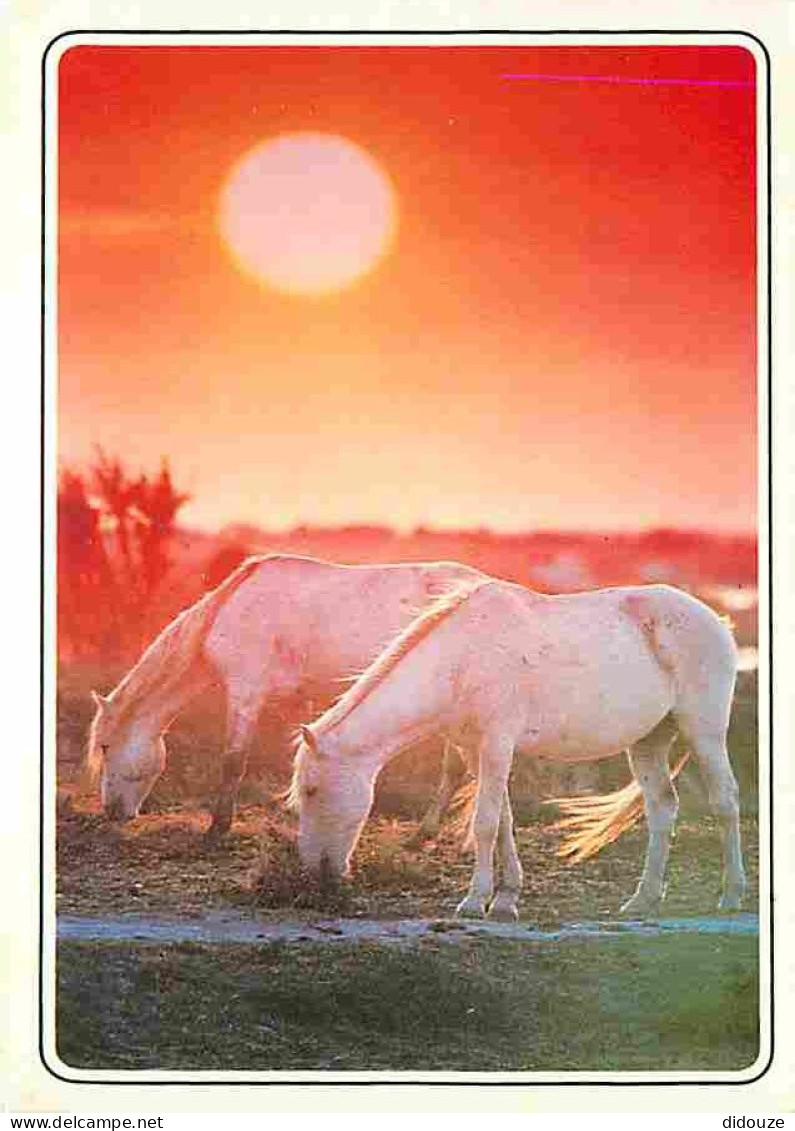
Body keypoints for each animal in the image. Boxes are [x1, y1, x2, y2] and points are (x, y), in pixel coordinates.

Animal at [87, 551, 484, 836]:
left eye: (105, 746)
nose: (111, 812)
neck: (229, 610)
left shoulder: (245, 694)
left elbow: (233, 761)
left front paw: (218, 827)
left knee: (453, 769)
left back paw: (425, 831)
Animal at [291, 583, 746, 918]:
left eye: (312, 790)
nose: (317, 873)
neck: (462, 658)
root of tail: (716, 620)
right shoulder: (475, 751)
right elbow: (504, 822)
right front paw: (507, 897)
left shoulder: (496, 744)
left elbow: (485, 823)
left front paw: (475, 900)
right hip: (648, 742)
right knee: (662, 809)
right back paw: (643, 899)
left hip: (704, 732)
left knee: (724, 802)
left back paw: (731, 895)